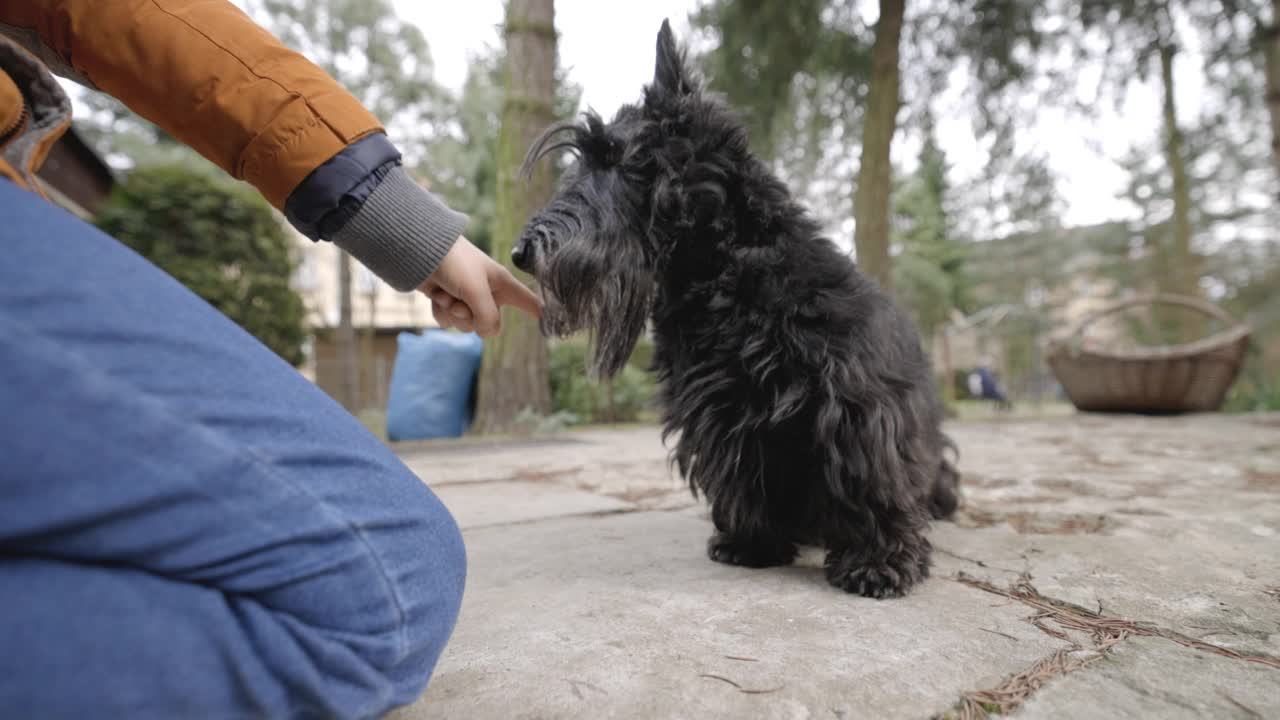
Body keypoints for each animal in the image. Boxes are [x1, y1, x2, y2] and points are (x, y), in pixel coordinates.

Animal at [514, 20, 957, 594]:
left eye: (614, 157)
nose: (521, 253)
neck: (722, 273)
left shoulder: (857, 402)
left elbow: (870, 477)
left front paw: (878, 559)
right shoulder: (719, 413)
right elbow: (741, 475)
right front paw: (752, 541)